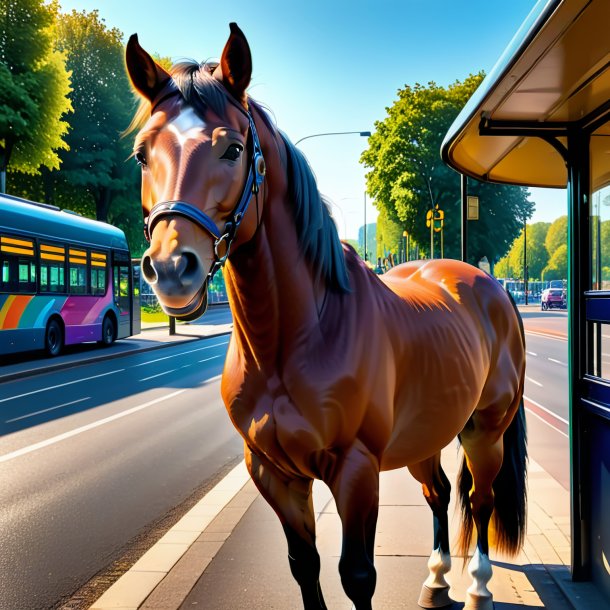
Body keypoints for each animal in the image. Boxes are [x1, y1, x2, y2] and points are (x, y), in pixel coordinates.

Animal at [124, 23, 528, 608]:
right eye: (142, 154)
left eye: (233, 148)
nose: (172, 268)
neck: (295, 339)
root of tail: (489, 285)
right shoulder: (272, 473)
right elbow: (305, 566)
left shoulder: (357, 471)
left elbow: (357, 575)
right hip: (427, 431)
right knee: (438, 492)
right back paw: (435, 579)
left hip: (485, 431)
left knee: (480, 499)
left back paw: (477, 586)